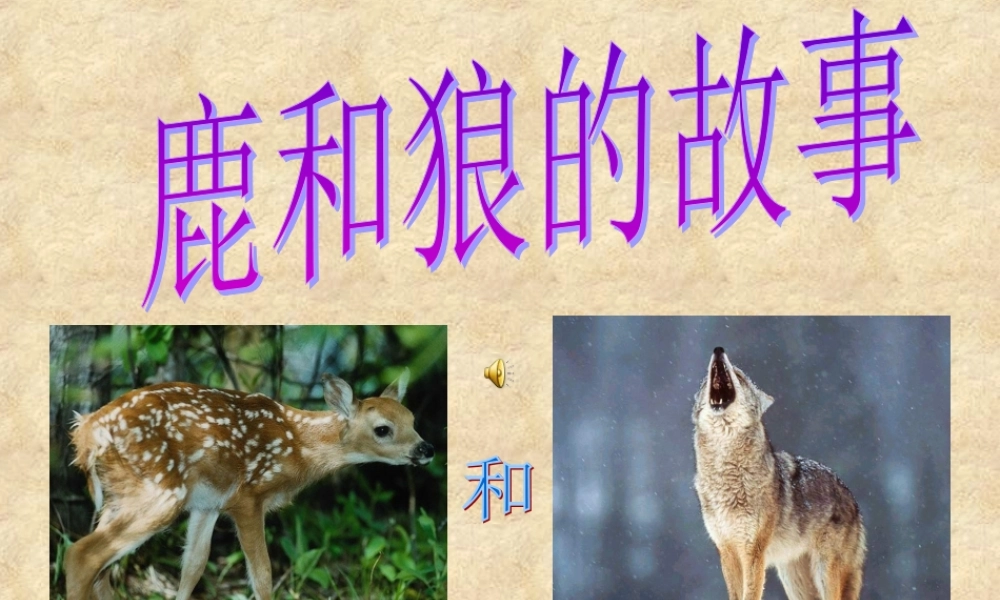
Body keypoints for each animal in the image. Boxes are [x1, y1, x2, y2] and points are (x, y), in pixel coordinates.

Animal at [64, 368, 435, 600]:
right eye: (383, 429)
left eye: (412, 419)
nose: (426, 449)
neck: (298, 445)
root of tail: (86, 433)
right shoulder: (248, 496)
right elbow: (262, 575)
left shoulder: (208, 503)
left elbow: (193, 567)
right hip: (160, 491)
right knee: (81, 554)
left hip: (121, 494)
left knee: (100, 570)